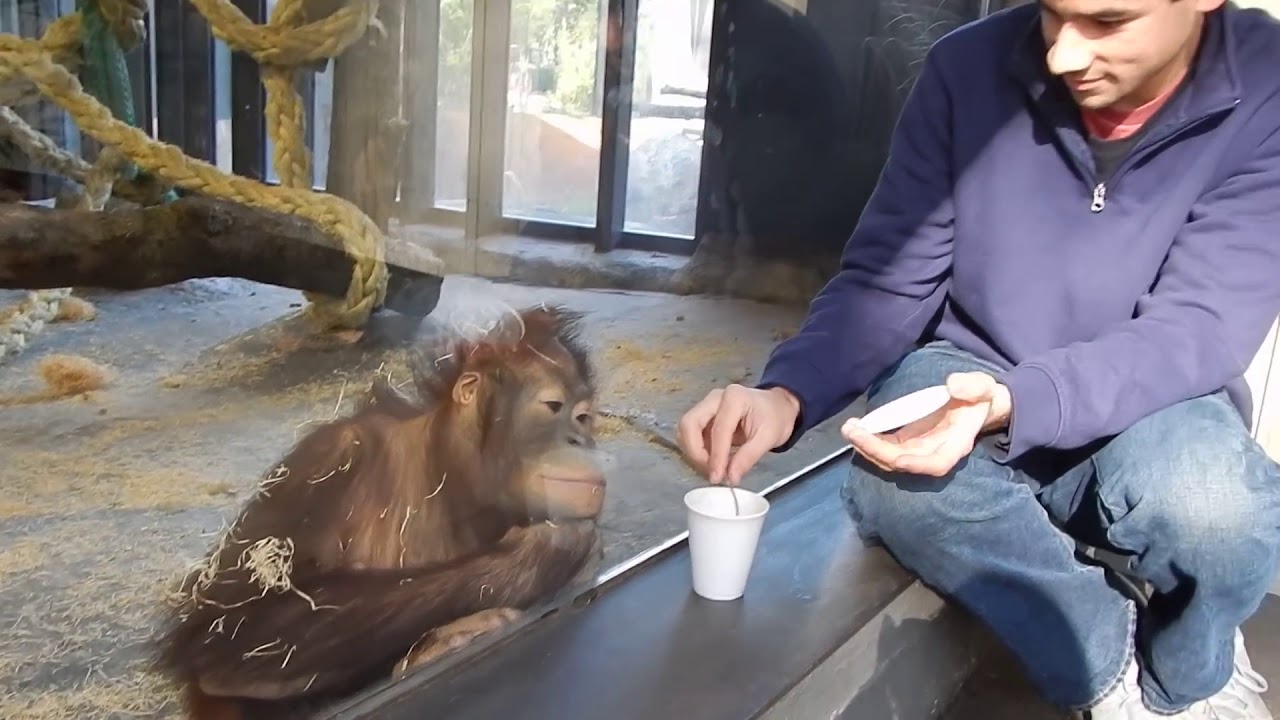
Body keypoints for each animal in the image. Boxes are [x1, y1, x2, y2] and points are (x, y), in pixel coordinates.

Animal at [153, 305, 608, 719]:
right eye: (553, 406)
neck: (447, 472)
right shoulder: (324, 463)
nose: (579, 440)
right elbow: (231, 631)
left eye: (584, 418)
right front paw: (549, 550)